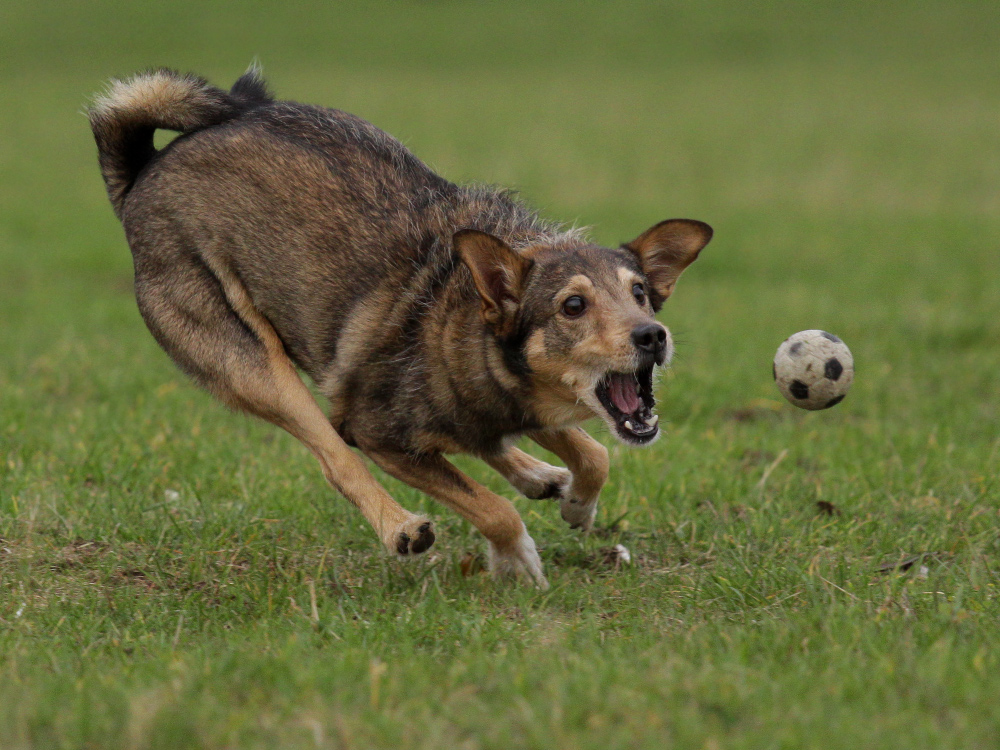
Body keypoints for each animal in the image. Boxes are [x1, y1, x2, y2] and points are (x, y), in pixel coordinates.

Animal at [88, 69, 712, 588]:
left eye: (639, 293)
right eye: (573, 306)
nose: (652, 336)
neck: (461, 319)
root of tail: (145, 169)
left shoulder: (516, 400)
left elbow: (593, 455)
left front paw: (576, 506)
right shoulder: (376, 432)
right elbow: (491, 506)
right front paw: (515, 561)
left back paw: (535, 474)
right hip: (248, 362)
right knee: (335, 456)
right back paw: (401, 526)